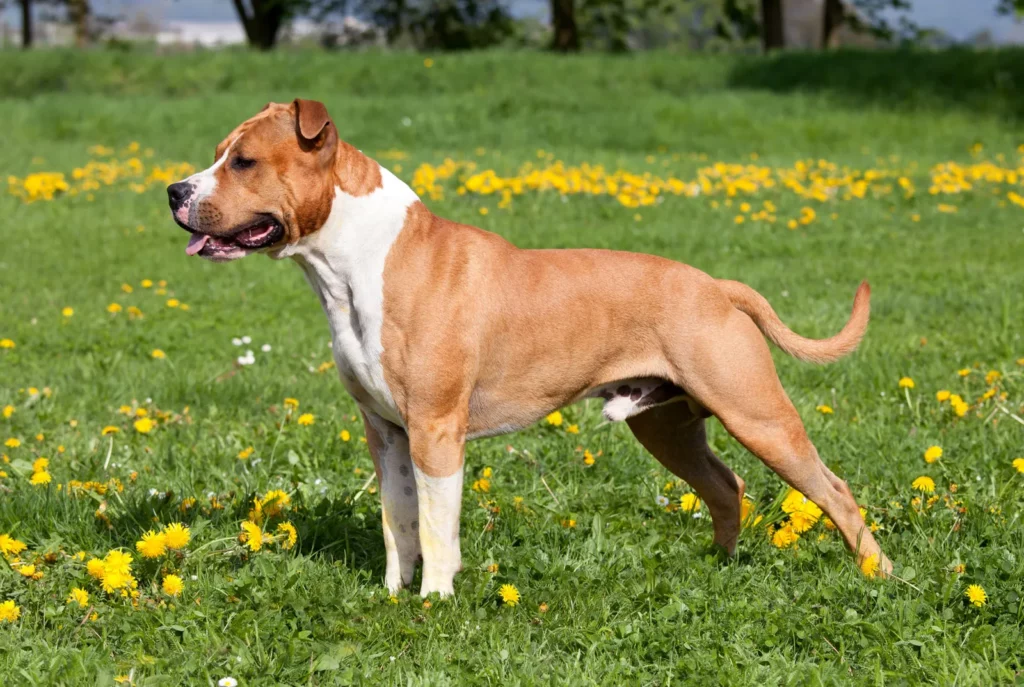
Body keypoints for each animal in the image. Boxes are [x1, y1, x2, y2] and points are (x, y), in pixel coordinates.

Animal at [165, 98, 888, 597]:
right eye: (218, 153)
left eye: (244, 161)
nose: (173, 190)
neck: (355, 260)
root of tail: (715, 286)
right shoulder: (386, 432)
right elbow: (398, 521)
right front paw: (393, 594)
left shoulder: (435, 429)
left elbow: (437, 525)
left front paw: (435, 601)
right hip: (667, 427)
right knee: (726, 484)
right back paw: (722, 565)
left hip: (757, 414)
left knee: (834, 489)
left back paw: (877, 576)